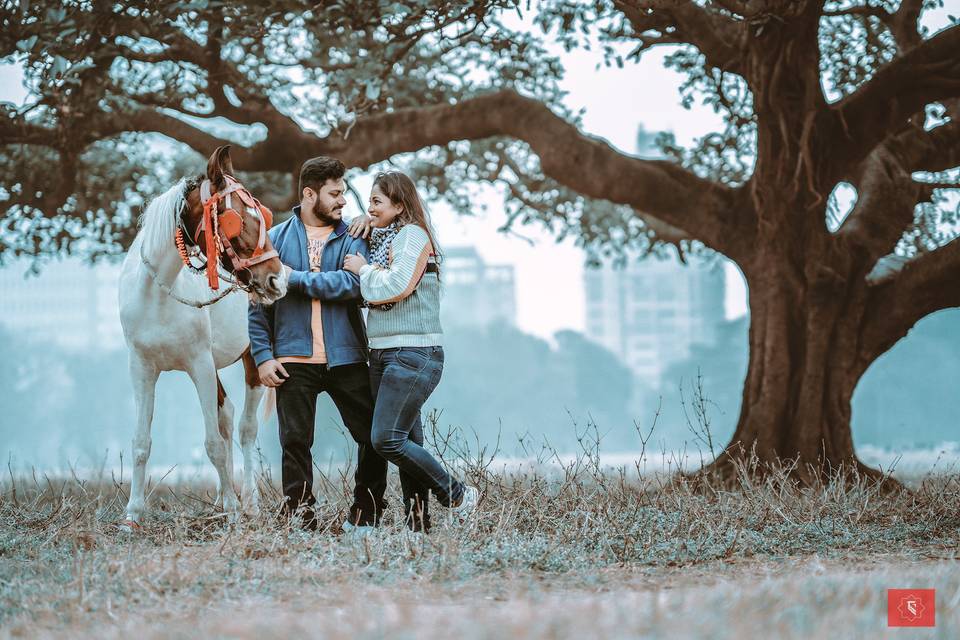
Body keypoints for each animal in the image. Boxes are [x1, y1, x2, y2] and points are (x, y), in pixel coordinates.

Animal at [118, 146, 286, 524]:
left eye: (263, 215)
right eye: (238, 218)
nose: (277, 280)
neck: (159, 292)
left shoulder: (200, 366)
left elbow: (212, 443)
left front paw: (235, 514)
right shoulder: (141, 369)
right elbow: (140, 442)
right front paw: (133, 515)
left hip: (252, 362)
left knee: (245, 429)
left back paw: (248, 502)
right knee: (227, 418)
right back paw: (227, 499)